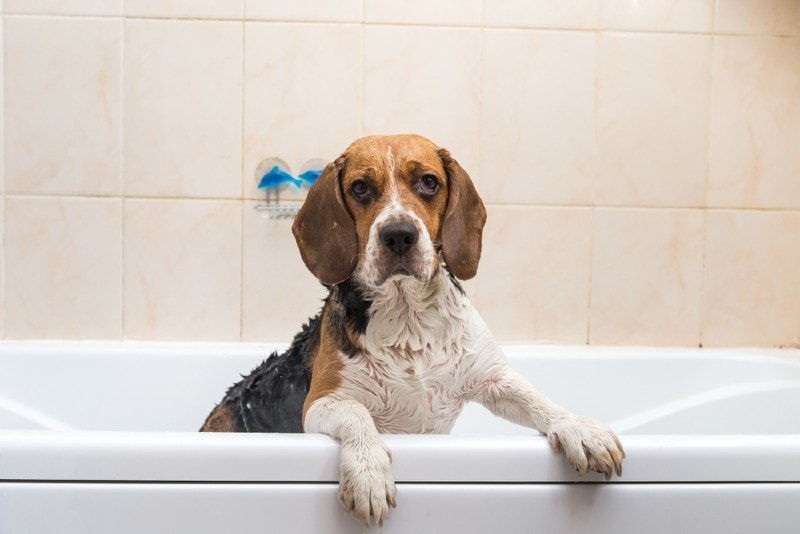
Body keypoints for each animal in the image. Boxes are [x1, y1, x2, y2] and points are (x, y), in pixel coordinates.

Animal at [202, 134, 624, 528]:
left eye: (428, 182)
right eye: (360, 187)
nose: (399, 234)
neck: (409, 319)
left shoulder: (493, 378)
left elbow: (539, 401)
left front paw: (580, 429)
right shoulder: (322, 402)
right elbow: (357, 414)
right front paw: (369, 472)